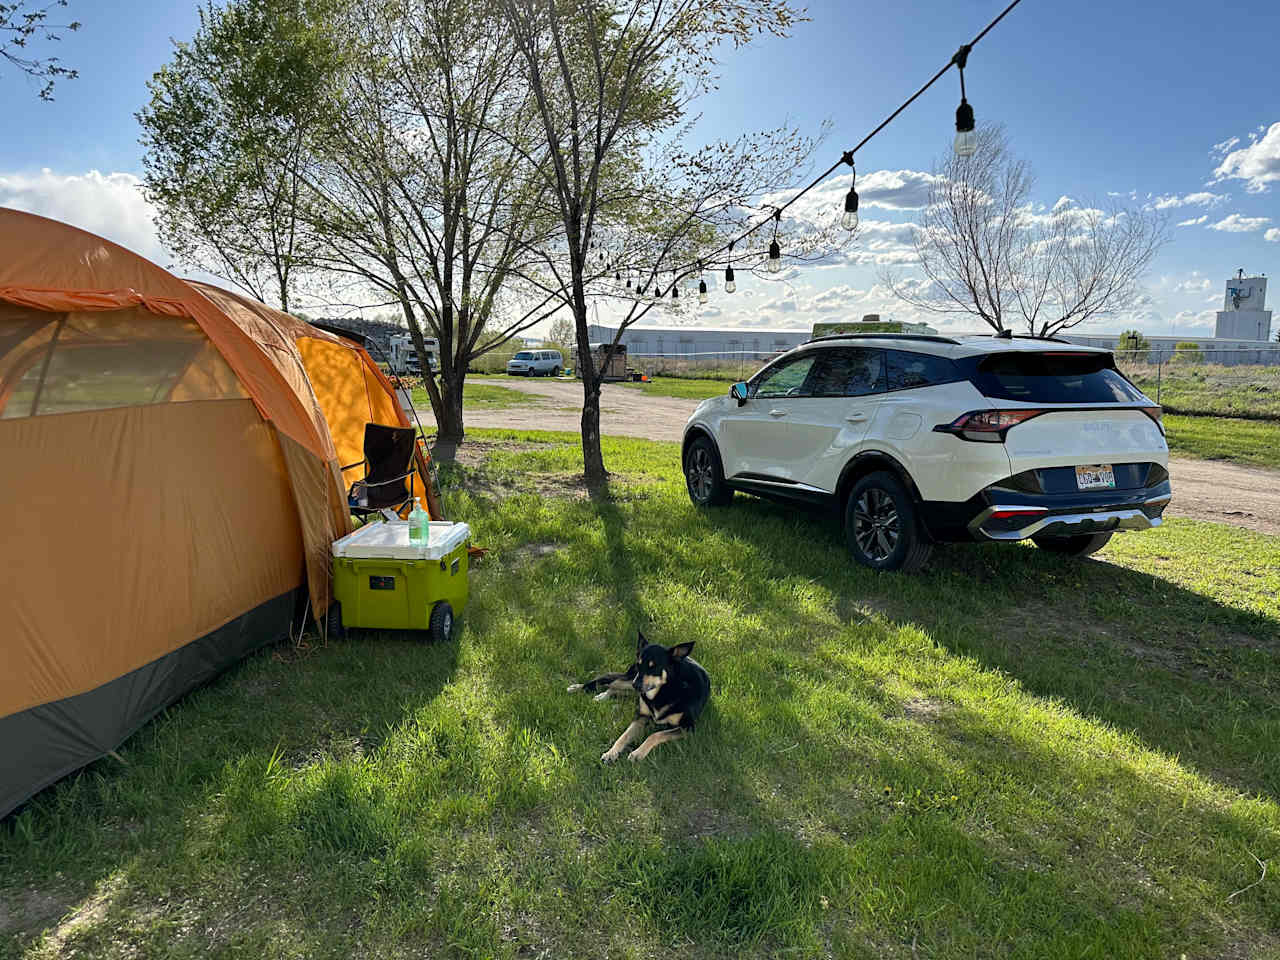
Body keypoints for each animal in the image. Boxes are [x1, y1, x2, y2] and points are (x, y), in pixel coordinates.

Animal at [568, 632, 711, 768]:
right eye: (639, 664)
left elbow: (655, 734)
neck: (667, 689)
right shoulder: (641, 716)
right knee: (606, 681)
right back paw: (579, 688)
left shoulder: (687, 727)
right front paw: (611, 753)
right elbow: (624, 735)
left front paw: (638, 753)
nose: (636, 684)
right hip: (629, 679)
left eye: (654, 667)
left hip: (631, 687)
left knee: (614, 687)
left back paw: (602, 695)